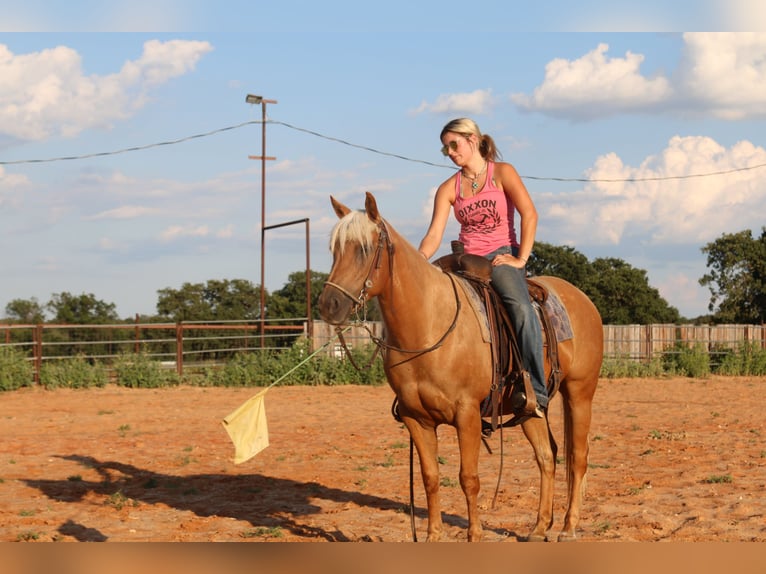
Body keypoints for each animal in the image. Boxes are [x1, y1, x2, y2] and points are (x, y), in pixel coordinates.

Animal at [317, 192, 603, 542]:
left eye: (364, 249)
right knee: (547, 457)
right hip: (530, 409)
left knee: (578, 457)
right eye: (334, 249)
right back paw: (538, 528)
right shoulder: (416, 419)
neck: (429, 325)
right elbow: (430, 477)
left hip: (580, 394)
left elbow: (469, 478)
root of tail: (583, 300)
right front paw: (432, 536)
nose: (329, 305)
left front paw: (475, 535)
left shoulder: (467, 415)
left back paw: (567, 527)